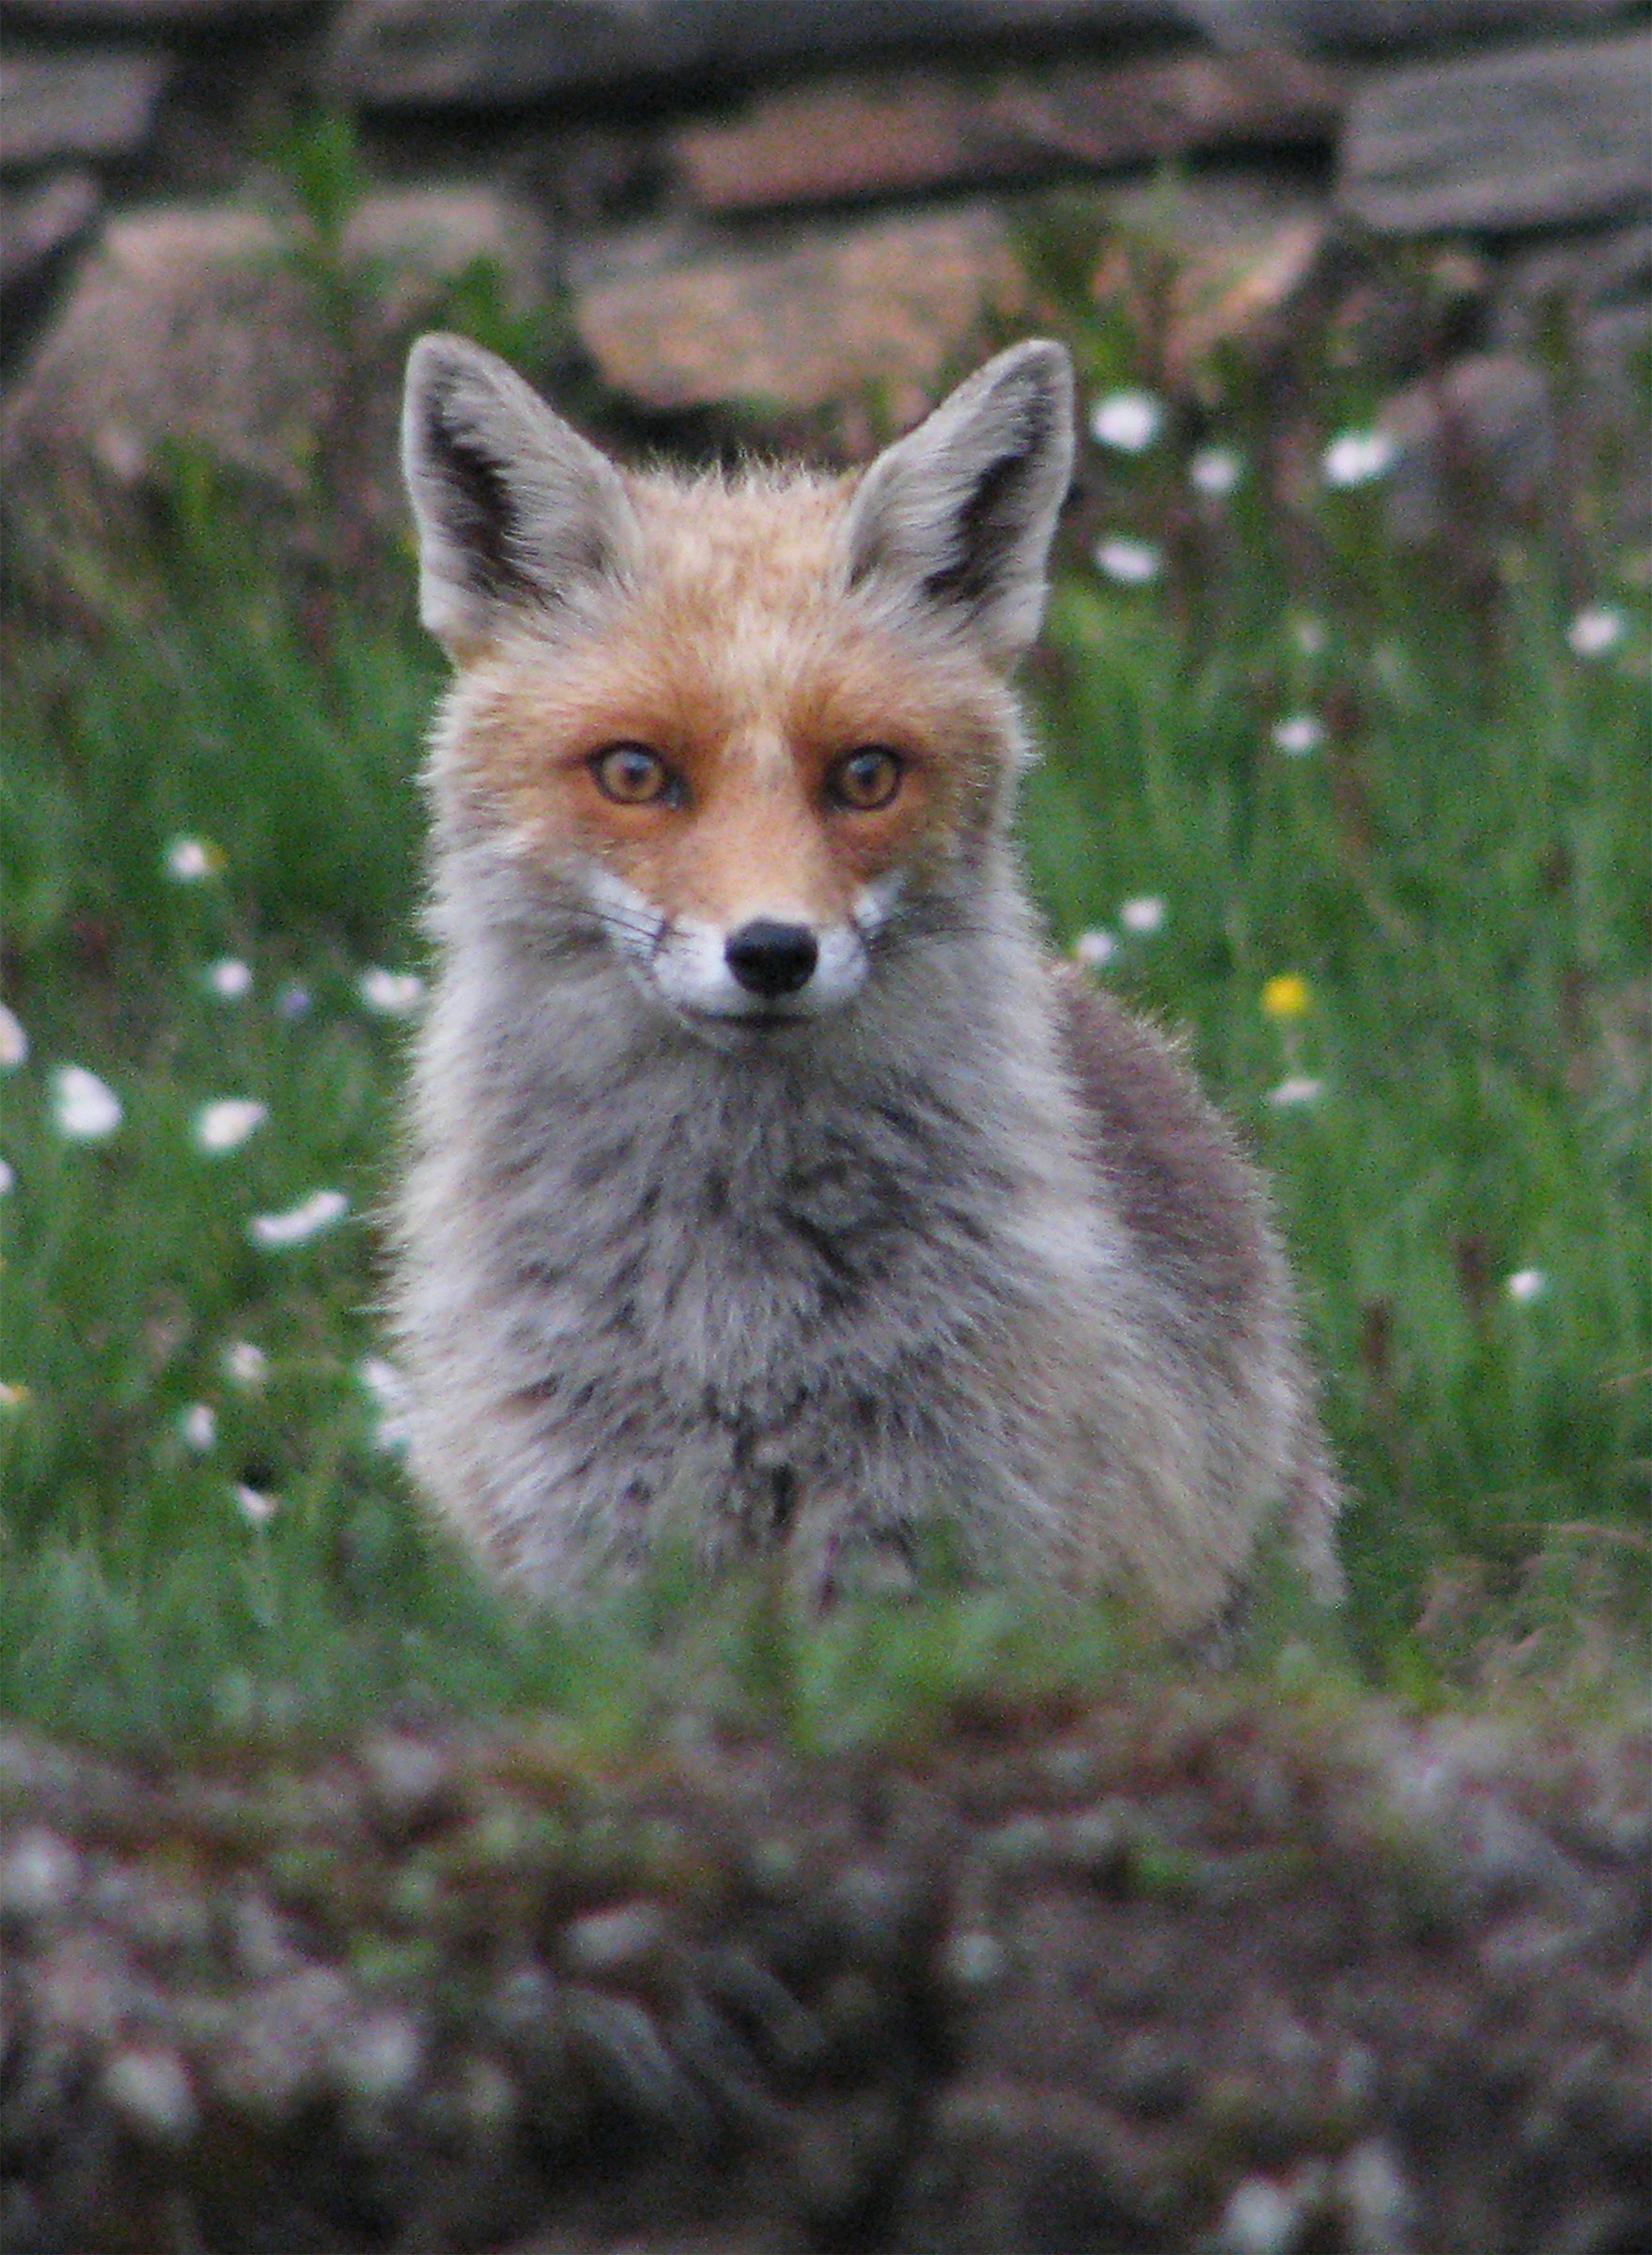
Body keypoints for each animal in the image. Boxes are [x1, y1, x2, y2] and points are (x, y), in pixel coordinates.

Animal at [393, 331, 1342, 1637]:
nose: (772, 952)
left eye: (866, 775)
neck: (734, 1305)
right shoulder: (599, 1549)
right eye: (634, 773)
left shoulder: (938, 1535)